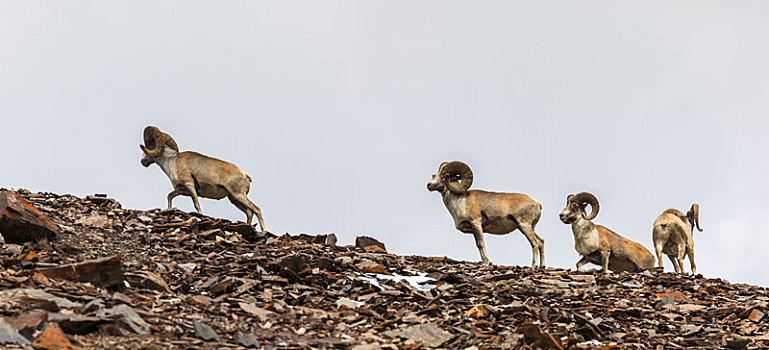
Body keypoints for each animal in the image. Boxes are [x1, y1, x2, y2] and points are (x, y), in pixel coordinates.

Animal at [139, 126, 268, 232]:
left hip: (238, 195)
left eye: (150, 146)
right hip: (234, 199)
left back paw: (264, 230)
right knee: (249, 212)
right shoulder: (182, 190)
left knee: (256, 209)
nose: (143, 162)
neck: (171, 162)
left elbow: (196, 204)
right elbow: (170, 196)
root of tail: (244, 175)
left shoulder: (190, 185)